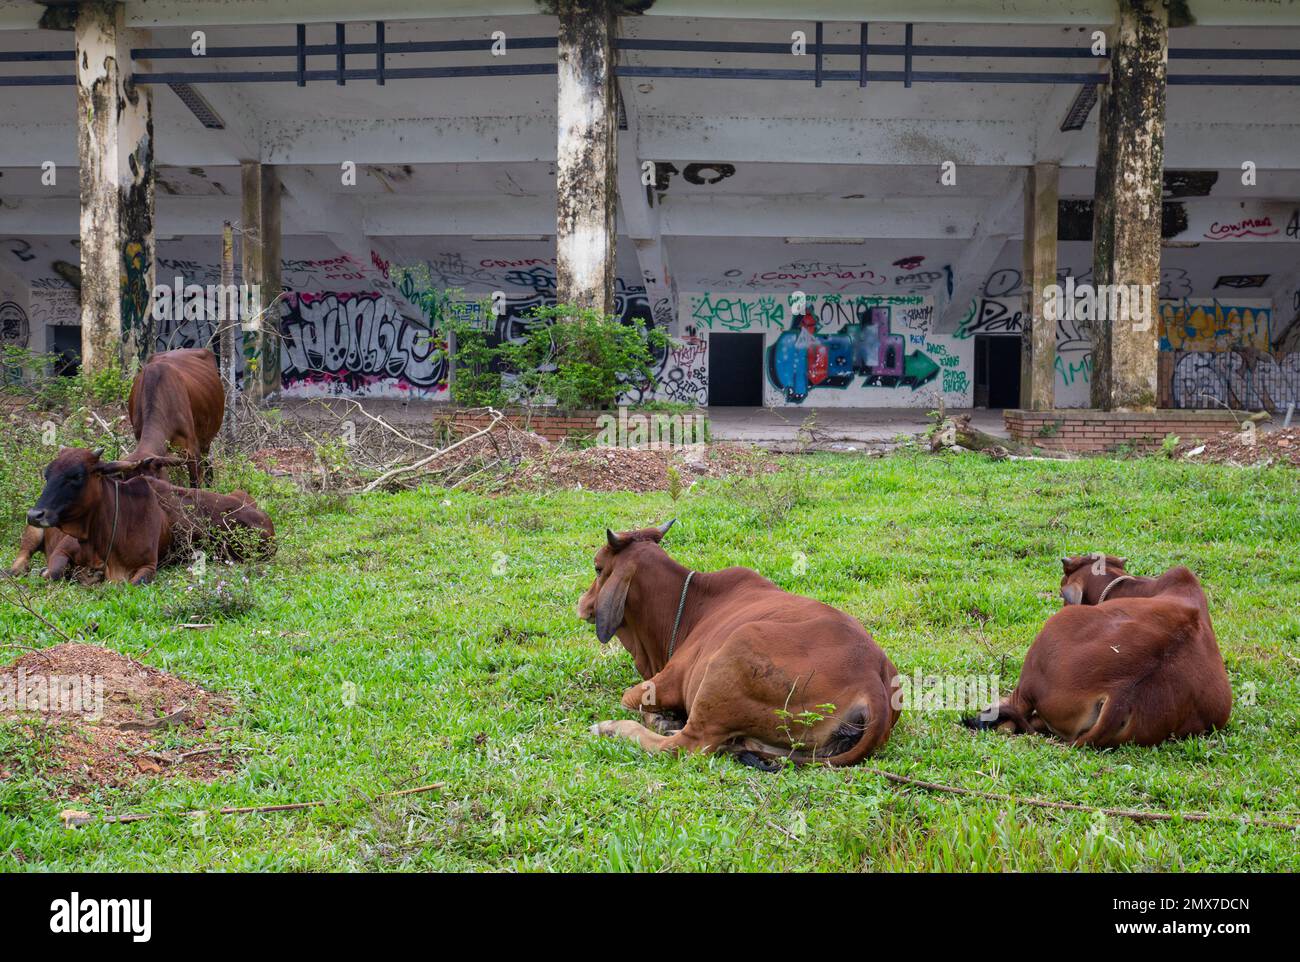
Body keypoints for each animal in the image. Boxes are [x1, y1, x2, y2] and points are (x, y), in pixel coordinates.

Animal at [23, 444, 274, 585]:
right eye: (47, 474)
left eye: (76, 476)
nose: (35, 514)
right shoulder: (62, 550)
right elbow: (52, 573)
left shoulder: (147, 567)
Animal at [574, 522, 899, 769]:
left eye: (597, 568)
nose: (582, 604)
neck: (688, 605)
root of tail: (873, 681)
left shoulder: (665, 682)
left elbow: (629, 698)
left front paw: (659, 718)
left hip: (735, 651)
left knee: (684, 745)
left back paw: (611, 728)